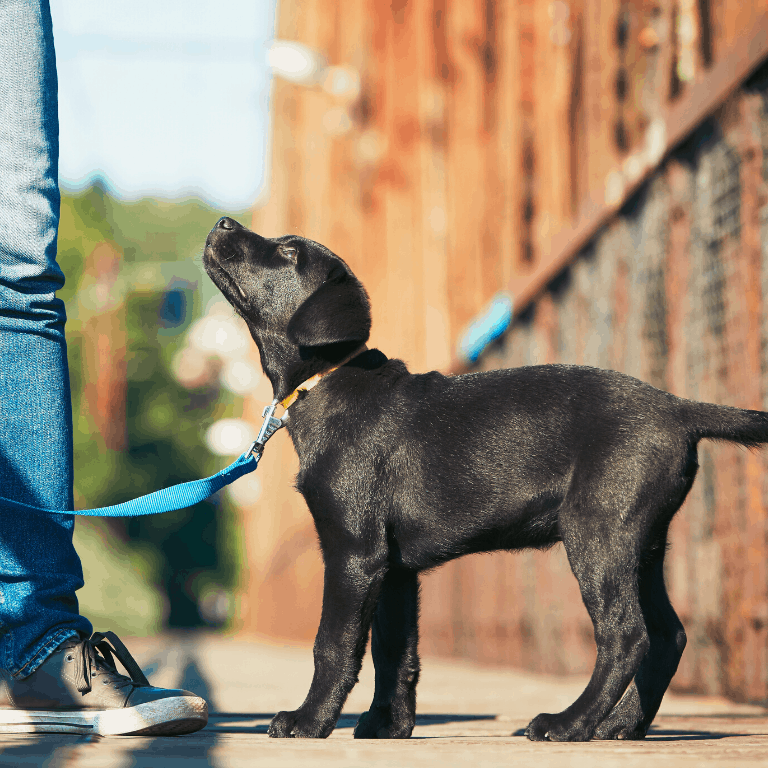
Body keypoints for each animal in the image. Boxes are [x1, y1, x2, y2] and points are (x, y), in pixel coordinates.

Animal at [204, 214, 768, 736]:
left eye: (289, 252)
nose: (223, 222)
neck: (328, 381)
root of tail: (678, 408)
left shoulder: (354, 551)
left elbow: (334, 644)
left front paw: (309, 720)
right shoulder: (394, 568)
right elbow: (395, 653)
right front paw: (388, 725)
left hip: (599, 533)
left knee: (627, 635)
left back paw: (570, 723)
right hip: (642, 543)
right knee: (668, 635)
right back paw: (620, 726)